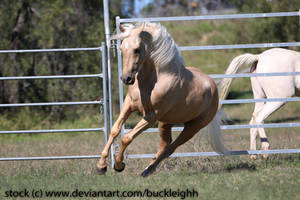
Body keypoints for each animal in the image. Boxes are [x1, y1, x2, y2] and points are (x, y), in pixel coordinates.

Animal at [97, 22, 229, 177]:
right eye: (122, 48)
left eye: (137, 50)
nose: (126, 78)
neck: (153, 81)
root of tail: (213, 86)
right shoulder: (128, 105)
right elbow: (114, 130)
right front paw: (101, 166)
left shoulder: (151, 117)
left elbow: (127, 138)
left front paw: (118, 165)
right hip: (166, 123)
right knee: (165, 145)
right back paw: (147, 170)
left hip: (193, 127)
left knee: (171, 148)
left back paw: (148, 170)